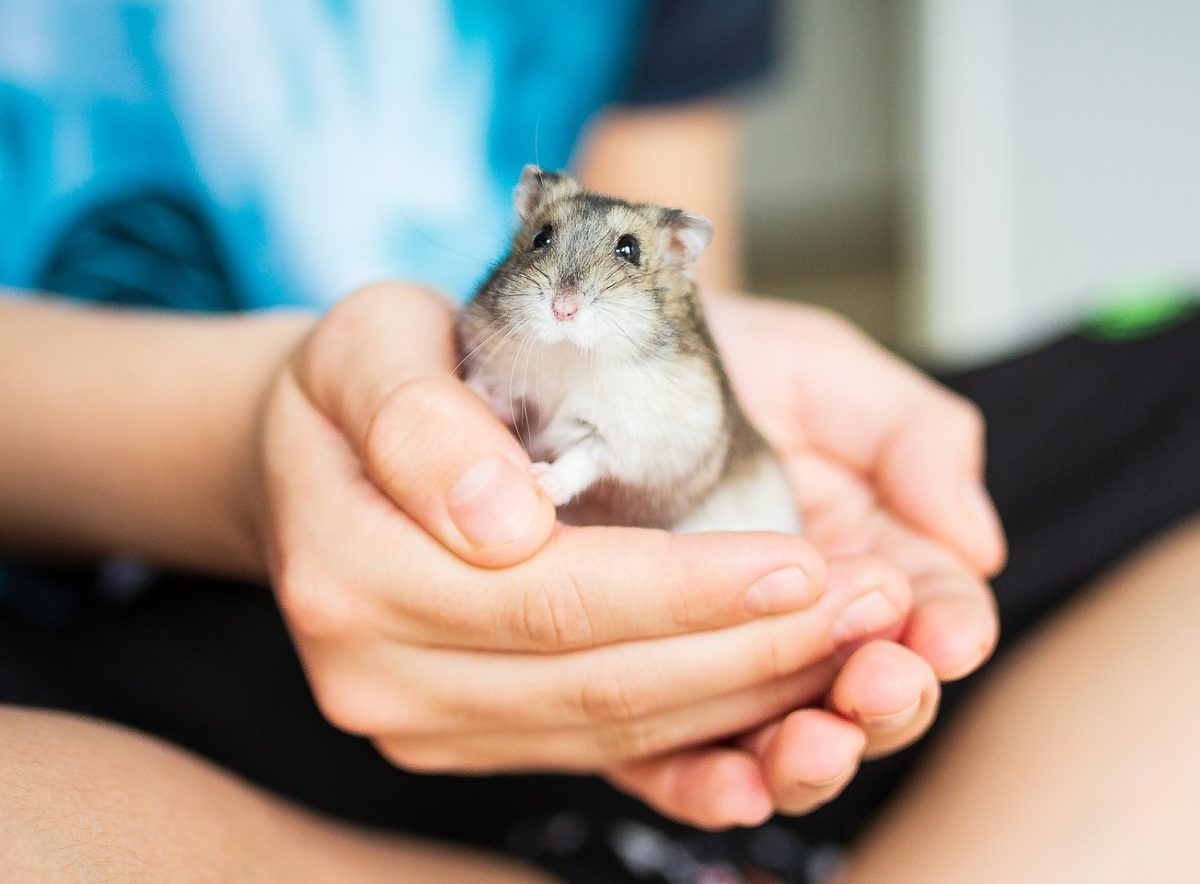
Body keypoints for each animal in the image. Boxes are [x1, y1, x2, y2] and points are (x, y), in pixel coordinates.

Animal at [456, 165, 801, 535]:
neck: (570, 354)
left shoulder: (629, 437)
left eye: (629, 250)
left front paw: (541, 481)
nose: (563, 310)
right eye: (540, 238)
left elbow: (585, 458)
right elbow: (504, 396)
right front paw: (472, 390)